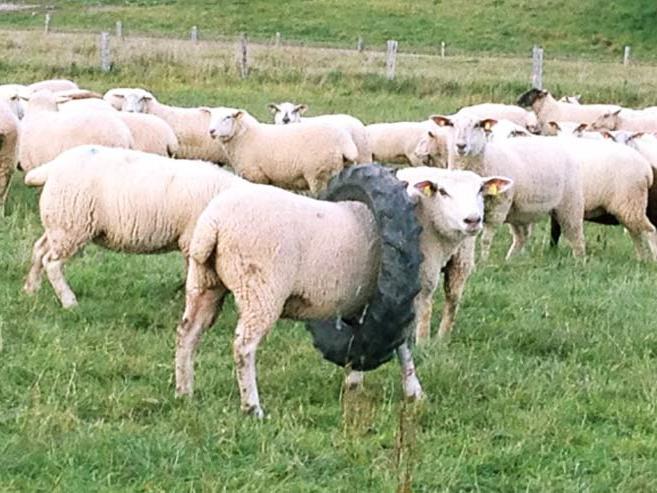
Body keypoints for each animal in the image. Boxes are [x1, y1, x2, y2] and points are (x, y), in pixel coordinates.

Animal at [23, 145, 245, 308]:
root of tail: (53, 166)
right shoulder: (193, 241)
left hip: (59, 223)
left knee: (39, 250)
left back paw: (30, 290)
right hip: (72, 225)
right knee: (52, 263)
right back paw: (69, 302)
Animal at [174, 165, 512, 416]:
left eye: (481, 190)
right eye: (442, 191)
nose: (473, 220)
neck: (423, 225)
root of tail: (213, 224)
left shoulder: (361, 299)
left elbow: (359, 341)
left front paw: (353, 382)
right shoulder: (404, 299)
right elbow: (403, 346)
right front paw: (415, 392)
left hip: (204, 283)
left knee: (187, 334)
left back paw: (184, 392)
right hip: (260, 290)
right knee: (244, 346)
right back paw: (252, 407)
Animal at [207, 107, 358, 194]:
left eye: (227, 117)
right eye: (211, 117)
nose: (211, 131)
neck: (245, 136)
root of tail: (344, 142)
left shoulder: (256, 175)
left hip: (319, 175)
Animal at [433, 114, 585, 261]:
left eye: (477, 125)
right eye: (451, 124)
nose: (461, 145)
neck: (487, 160)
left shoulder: (497, 209)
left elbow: (485, 240)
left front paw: (483, 262)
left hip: (570, 204)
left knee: (576, 236)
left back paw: (579, 261)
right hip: (520, 213)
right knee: (521, 238)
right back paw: (509, 260)